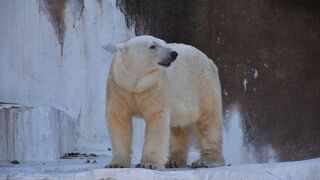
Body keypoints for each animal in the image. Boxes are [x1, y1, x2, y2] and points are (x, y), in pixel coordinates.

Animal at [105, 35, 225, 170]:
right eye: (152, 46)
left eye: (165, 43)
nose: (173, 54)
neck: (135, 84)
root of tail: (209, 60)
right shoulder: (119, 88)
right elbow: (119, 119)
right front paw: (116, 164)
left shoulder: (155, 87)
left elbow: (156, 119)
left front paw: (149, 163)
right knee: (178, 128)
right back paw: (174, 161)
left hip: (204, 86)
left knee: (209, 122)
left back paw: (206, 160)